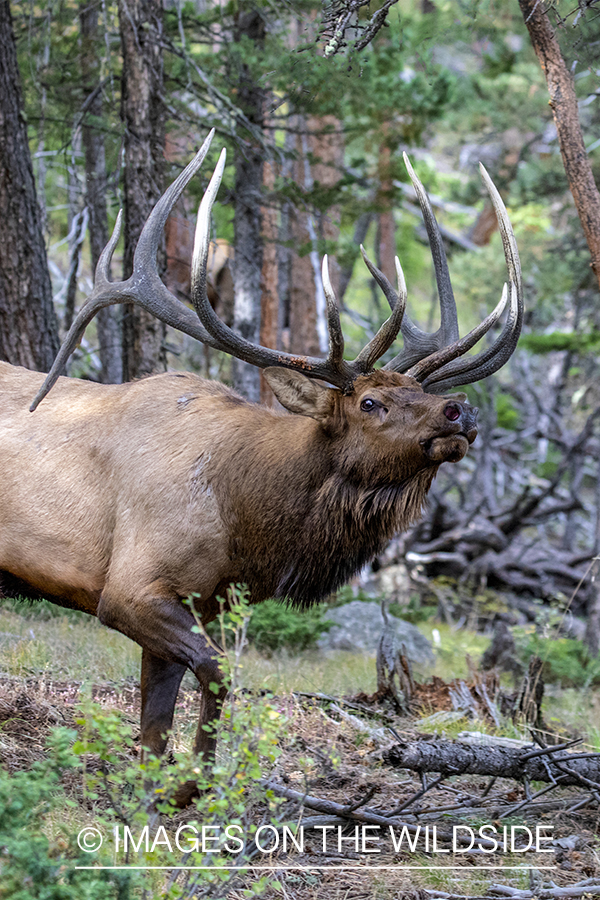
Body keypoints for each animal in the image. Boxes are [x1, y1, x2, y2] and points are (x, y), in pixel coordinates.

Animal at [0, 128, 520, 800]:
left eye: (418, 392)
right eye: (369, 402)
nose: (461, 410)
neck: (244, 518)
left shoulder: (200, 600)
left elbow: (153, 730)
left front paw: (163, 793)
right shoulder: (128, 588)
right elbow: (217, 675)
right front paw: (192, 786)